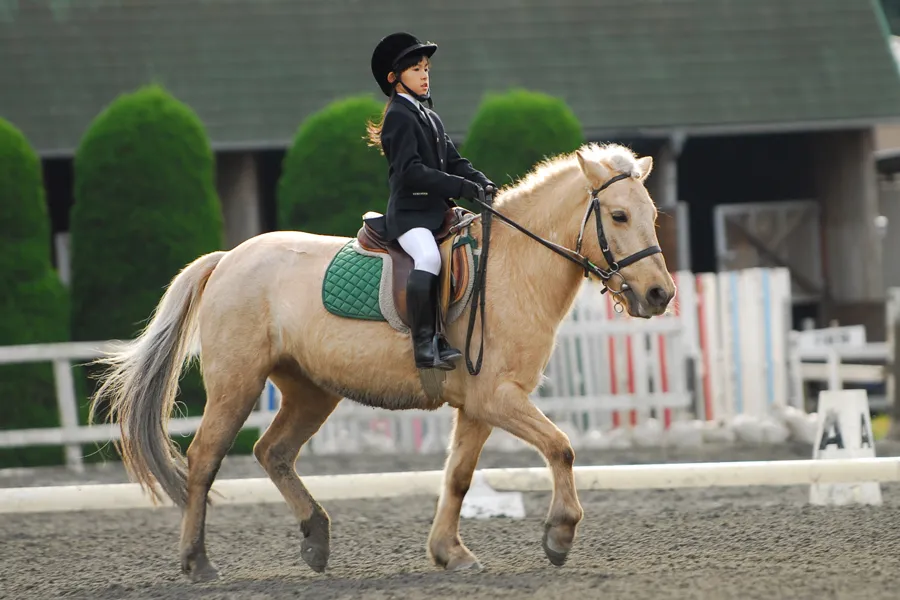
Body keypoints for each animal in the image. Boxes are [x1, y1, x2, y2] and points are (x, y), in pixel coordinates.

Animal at [87, 141, 676, 582]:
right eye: (618, 215)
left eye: (653, 216)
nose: (659, 295)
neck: (511, 268)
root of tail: (229, 258)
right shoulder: (498, 397)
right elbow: (561, 446)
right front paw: (559, 534)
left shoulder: (479, 406)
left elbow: (459, 476)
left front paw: (450, 553)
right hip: (238, 384)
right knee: (205, 460)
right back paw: (198, 562)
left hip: (311, 391)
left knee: (273, 452)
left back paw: (316, 539)